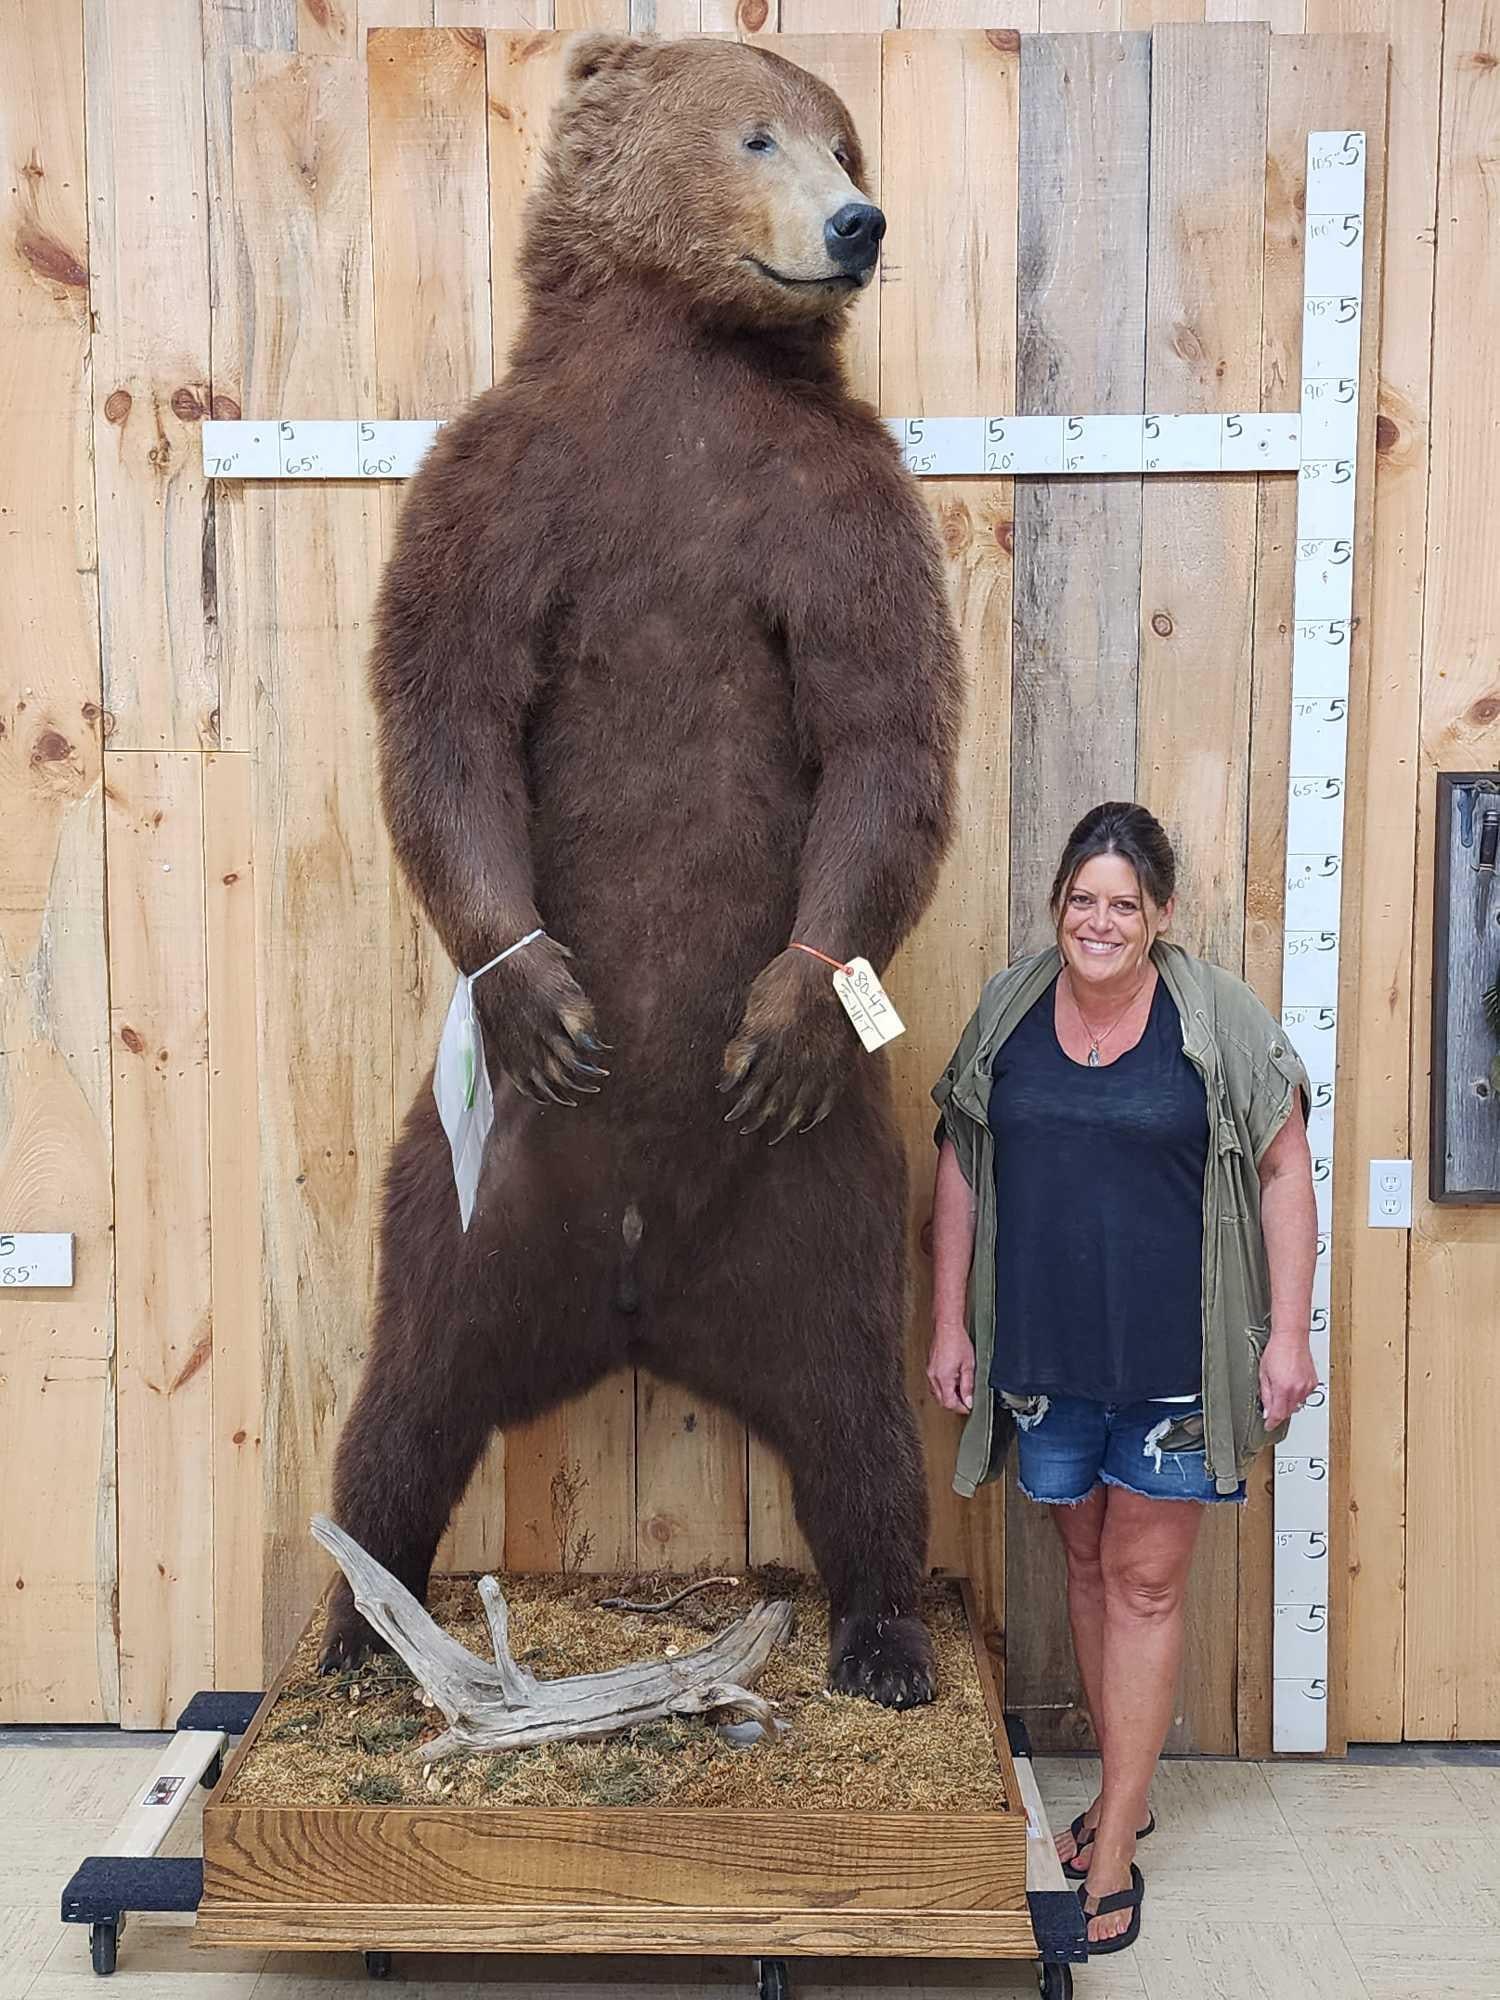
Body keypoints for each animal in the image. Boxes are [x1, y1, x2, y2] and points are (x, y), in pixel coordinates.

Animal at [320, 31, 964, 1709]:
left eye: (841, 138)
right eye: (760, 136)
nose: (861, 222)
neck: (686, 353)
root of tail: (633, 1297)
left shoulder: (834, 498)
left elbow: (883, 726)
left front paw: (789, 1015)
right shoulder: (503, 477)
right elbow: (447, 703)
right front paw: (538, 993)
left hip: (822, 1200)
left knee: (859, 1418)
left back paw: (886, 1639)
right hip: (470, 1191)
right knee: (401, 1399)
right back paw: (350, 1630)